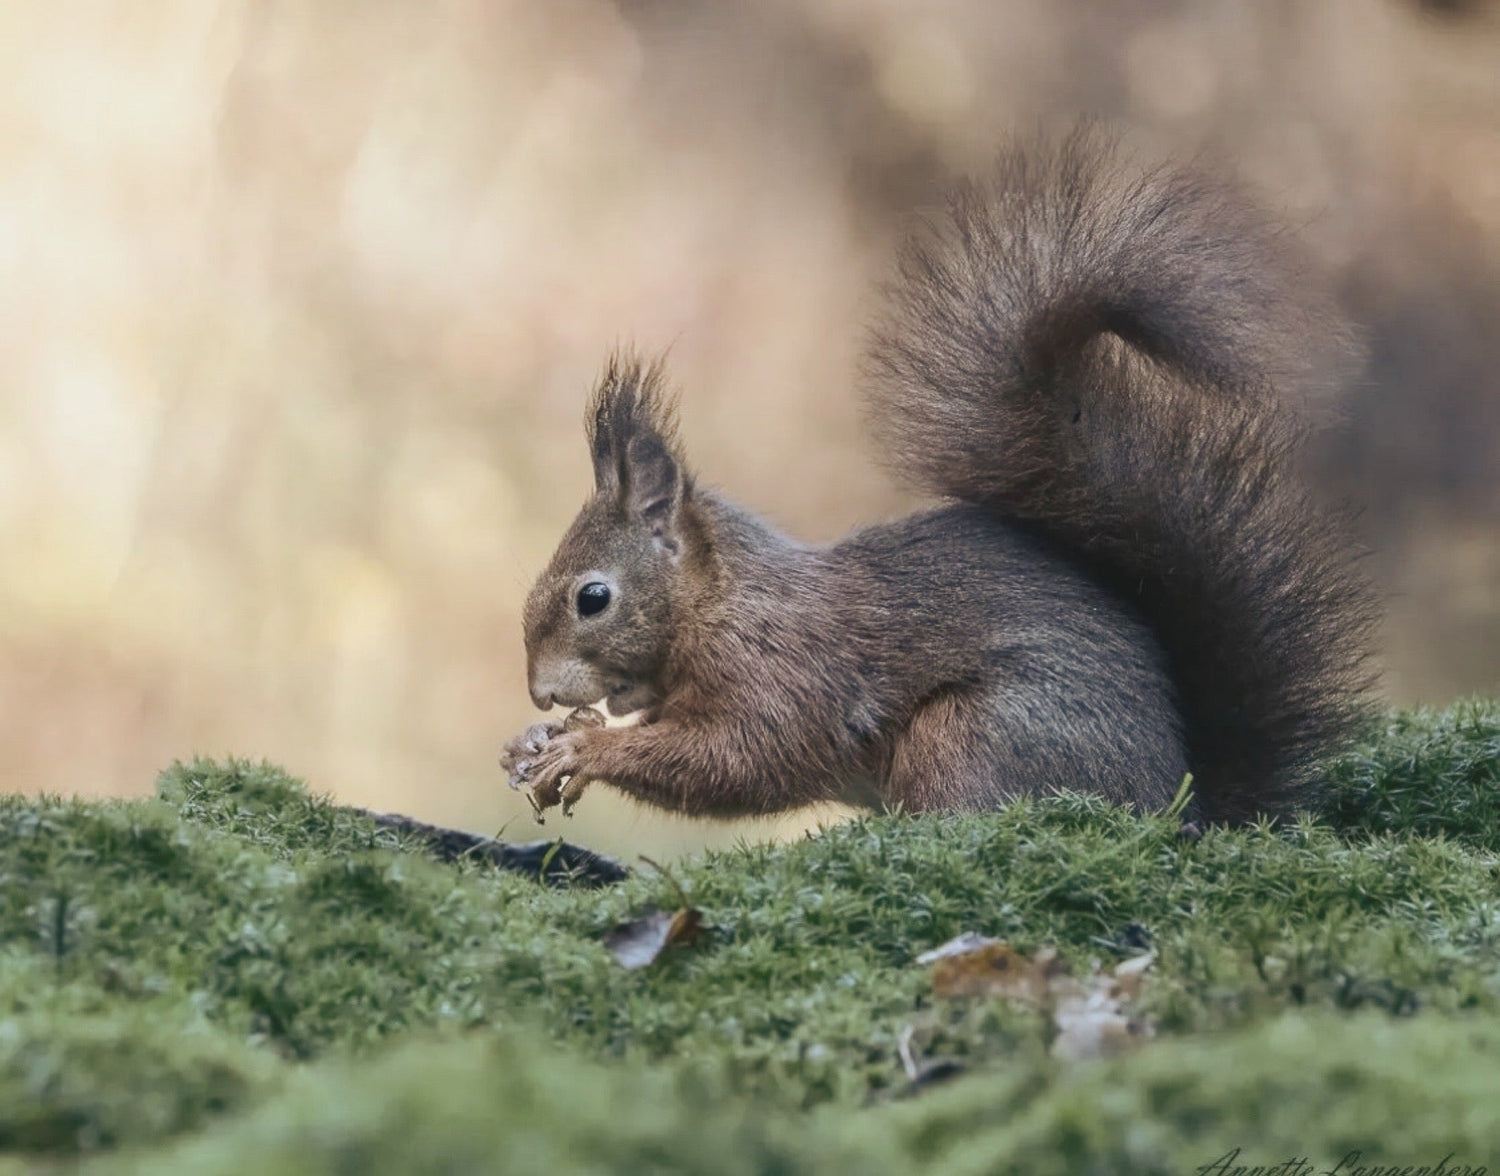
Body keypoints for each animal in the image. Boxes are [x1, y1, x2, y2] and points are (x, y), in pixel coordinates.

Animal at [501, 129, 1380, 828]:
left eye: (592, 598)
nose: (541, 692)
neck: (721, 604)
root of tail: (1182, 809)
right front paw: (539, 740)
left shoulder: (785, 671)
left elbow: (741, 759)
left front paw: (583, 748)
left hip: (972, 734)